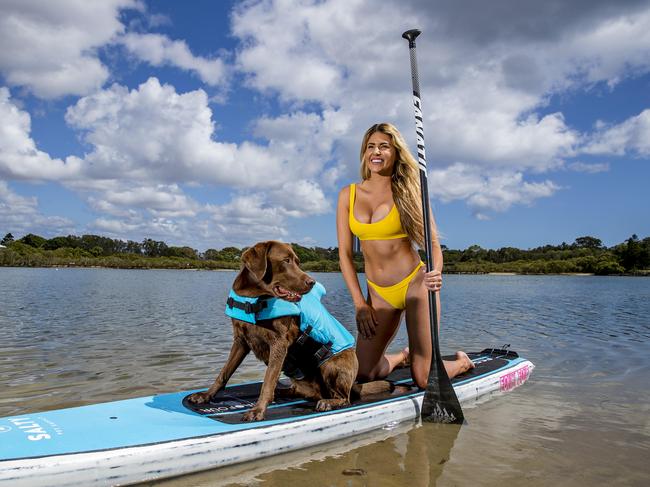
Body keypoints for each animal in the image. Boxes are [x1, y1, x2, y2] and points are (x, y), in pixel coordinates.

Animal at [187, 241, 360, 424]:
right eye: (286, 260)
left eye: (297, 261)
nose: (312, 282)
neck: (253, 298)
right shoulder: (240, 341)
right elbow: (224, 373)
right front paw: (205, 395)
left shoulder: (279, 344)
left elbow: (268, 381)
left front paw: (258, 410)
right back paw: (282, 392)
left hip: (335, 363)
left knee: (345, 398)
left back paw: (328, 402)